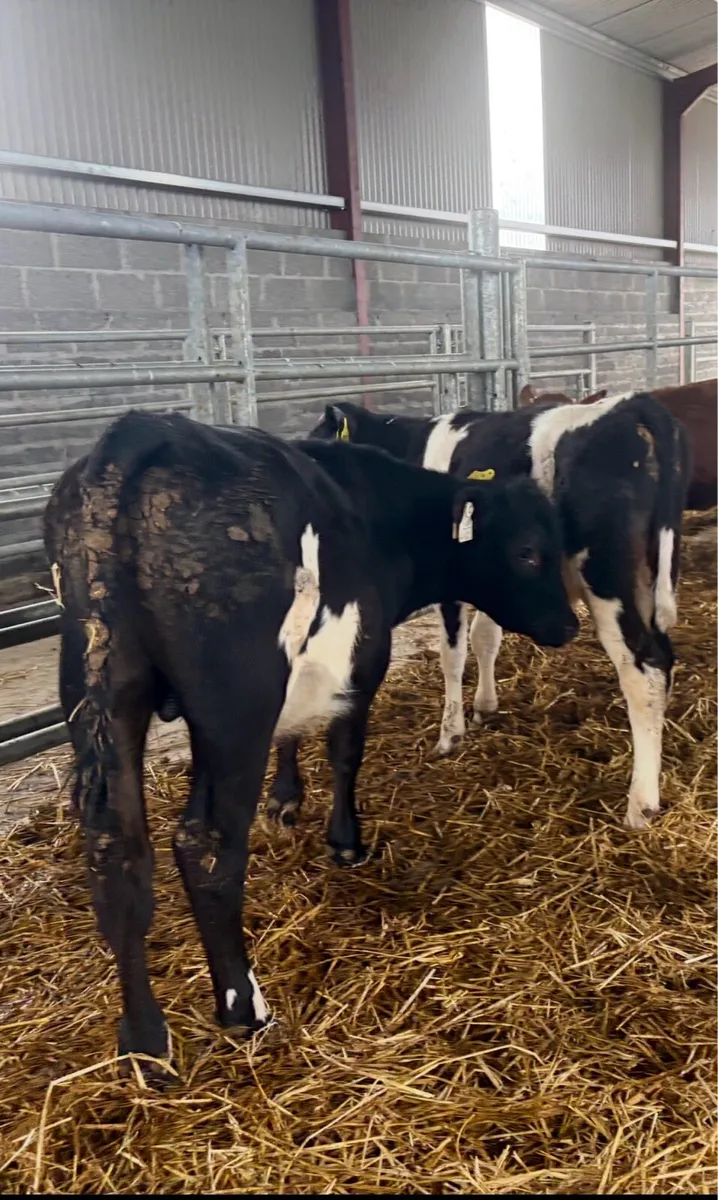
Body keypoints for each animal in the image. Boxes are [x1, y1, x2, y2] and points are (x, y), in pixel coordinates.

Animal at [44, 409, 576, 1079]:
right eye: (529, 551)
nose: (571, 625)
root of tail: (139, 435)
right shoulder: (361, 664)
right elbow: (345, 751)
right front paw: (346, 841)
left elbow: (292, 737)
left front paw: (286, 801)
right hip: (233, 707)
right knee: (207, 845)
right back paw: (243, 1005)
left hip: (105, 690)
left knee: (117, 852)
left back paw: (144, 1040)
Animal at [300, 395, 691, 832]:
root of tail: (633, 404)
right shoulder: (497, 584)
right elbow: (486, 638)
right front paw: (484, 707)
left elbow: (452, 654)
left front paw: (449, 734)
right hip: (648, 581)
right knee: (663, 662)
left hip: (608, 582)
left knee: (643, 669)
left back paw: (641, 804)